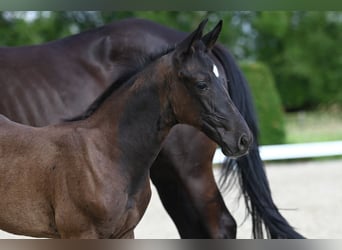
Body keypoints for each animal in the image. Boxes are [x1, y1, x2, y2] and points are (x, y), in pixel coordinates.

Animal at [0, 18, 304, 238]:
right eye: (202, 84)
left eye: (222, 81)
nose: (243, 138)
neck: (103, 152)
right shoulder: (80, 235)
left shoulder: (123, 232)